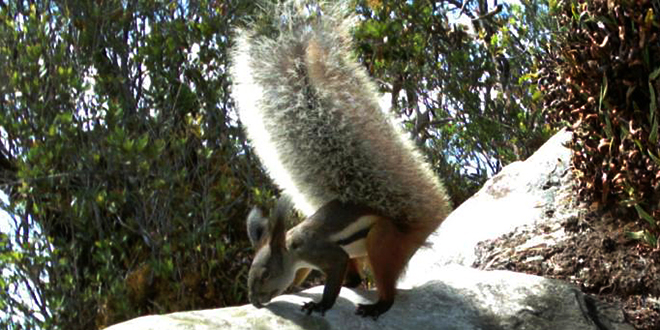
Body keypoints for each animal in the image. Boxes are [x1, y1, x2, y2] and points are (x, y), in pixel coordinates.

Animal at [229, 0, 452, 320]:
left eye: (267, 273)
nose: (256, 301)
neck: (291, 246)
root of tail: (416, 226)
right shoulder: (305, 263)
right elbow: (302, 276)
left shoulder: (323, 252)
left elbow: (334, 271)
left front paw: (320, 304)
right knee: (357, 278)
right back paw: (356, 285)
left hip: (383, 242)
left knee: (386, 284)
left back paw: (377, 305)